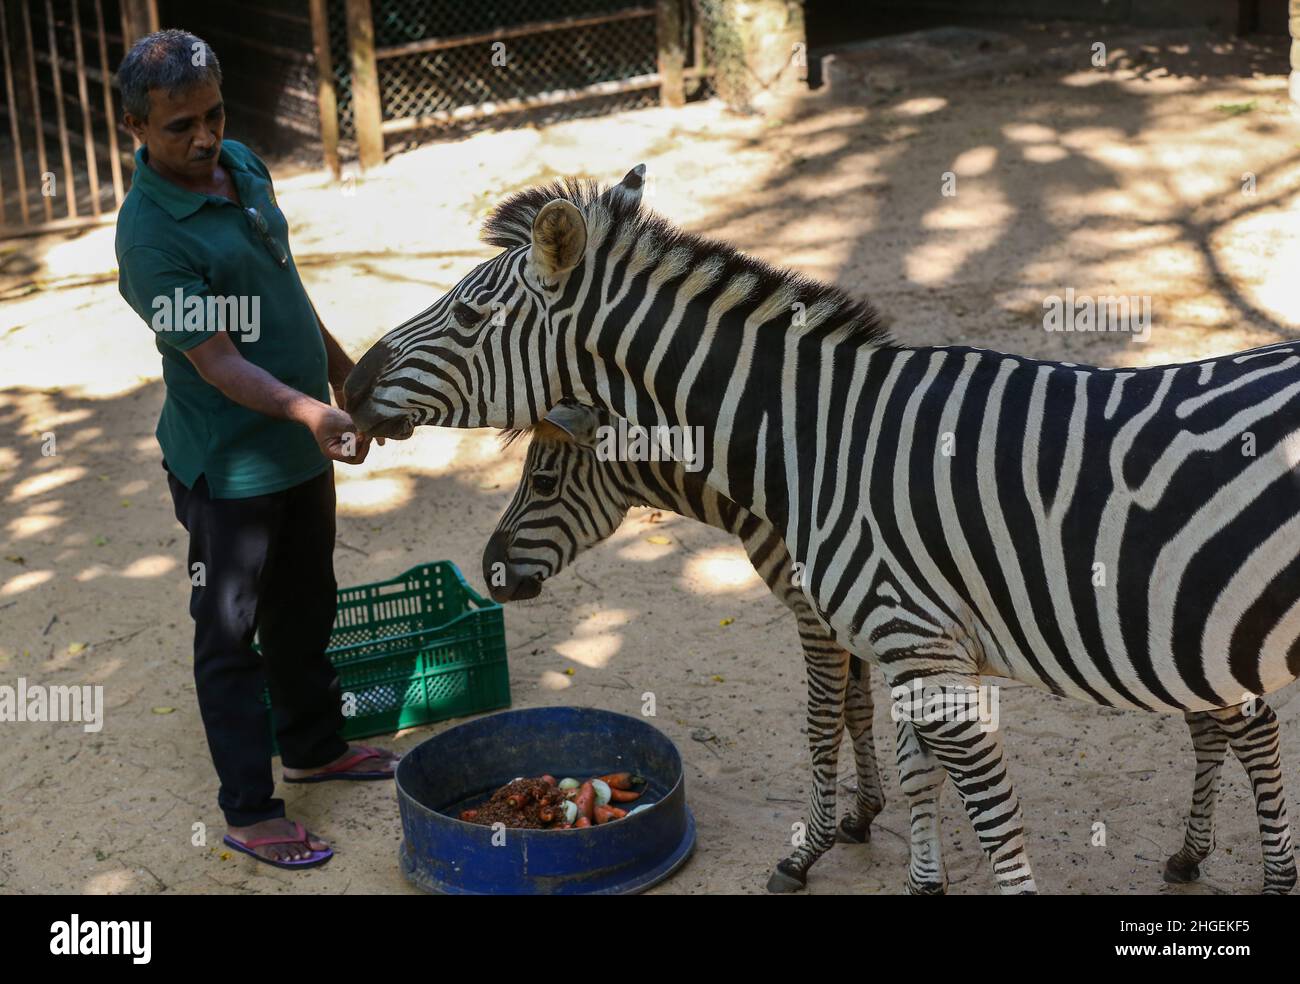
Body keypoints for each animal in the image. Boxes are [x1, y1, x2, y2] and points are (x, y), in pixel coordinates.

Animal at [483, 400, 951, 889]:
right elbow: (857, 708)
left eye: (543, 483)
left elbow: (824, 724)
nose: (487, 572)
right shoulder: (846, 620)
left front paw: (805, 854)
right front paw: (863, 815)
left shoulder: (817, 616)